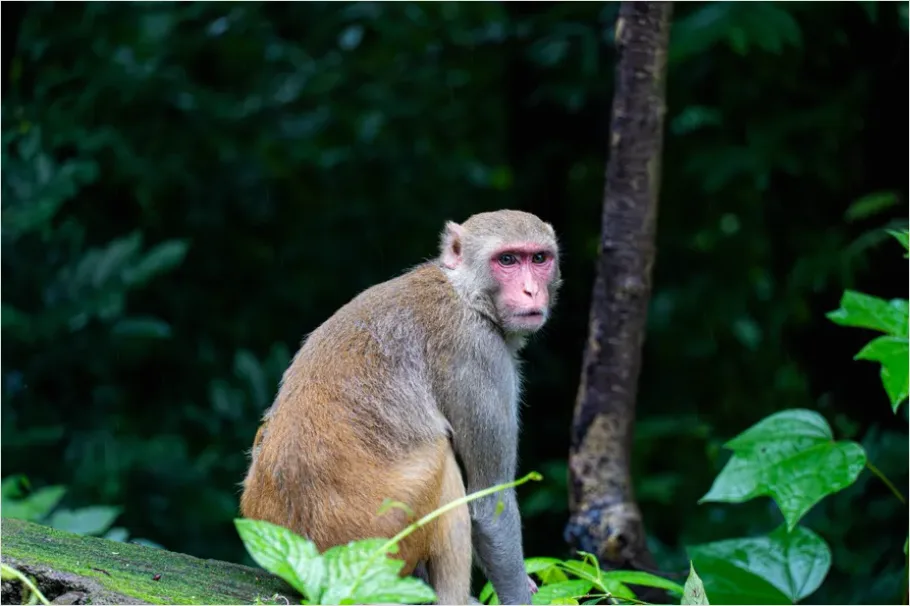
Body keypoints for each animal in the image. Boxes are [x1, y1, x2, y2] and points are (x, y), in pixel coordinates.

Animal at [240, 209, 561, 605]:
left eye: (539, 258)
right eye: (508, 260)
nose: (531, 290)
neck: (465, 292)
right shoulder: (478, 352)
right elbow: (491, 506)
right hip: (382, 537)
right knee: (444, 463)